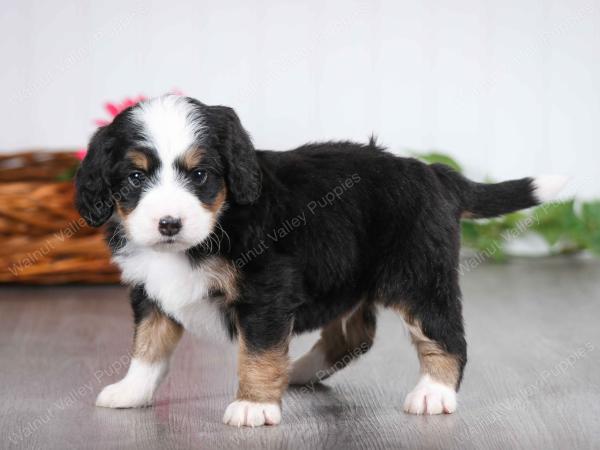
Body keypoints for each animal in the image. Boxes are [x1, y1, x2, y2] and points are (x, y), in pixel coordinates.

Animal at [75, 94, 568, 426]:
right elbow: (148, 346)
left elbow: (257, 351)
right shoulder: (150, 293)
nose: (169, 224)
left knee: (446, 337)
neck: (220, 221)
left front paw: (254, 404)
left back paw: (433, 393)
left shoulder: (267, 291)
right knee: (353, 336)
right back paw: (297, 370)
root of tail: (433, 172)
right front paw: (131, 390)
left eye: (200, 175)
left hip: (418, 278)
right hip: (350, 277)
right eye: (134, 177)